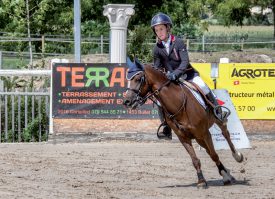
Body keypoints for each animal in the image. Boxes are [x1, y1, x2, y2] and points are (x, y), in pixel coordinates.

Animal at [124, 58, 245, 188]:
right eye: (128, 80)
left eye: (138, 79)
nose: (127, 101)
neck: (179, 104)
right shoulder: (184, 138)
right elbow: (195, 160)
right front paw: (201, 181)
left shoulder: (205, 133)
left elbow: (214, 155)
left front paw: (225, 175)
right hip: (198, 138)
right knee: (208, 149)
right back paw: (227, 173)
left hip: (214, 123)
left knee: (225, 133)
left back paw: (236, 157)